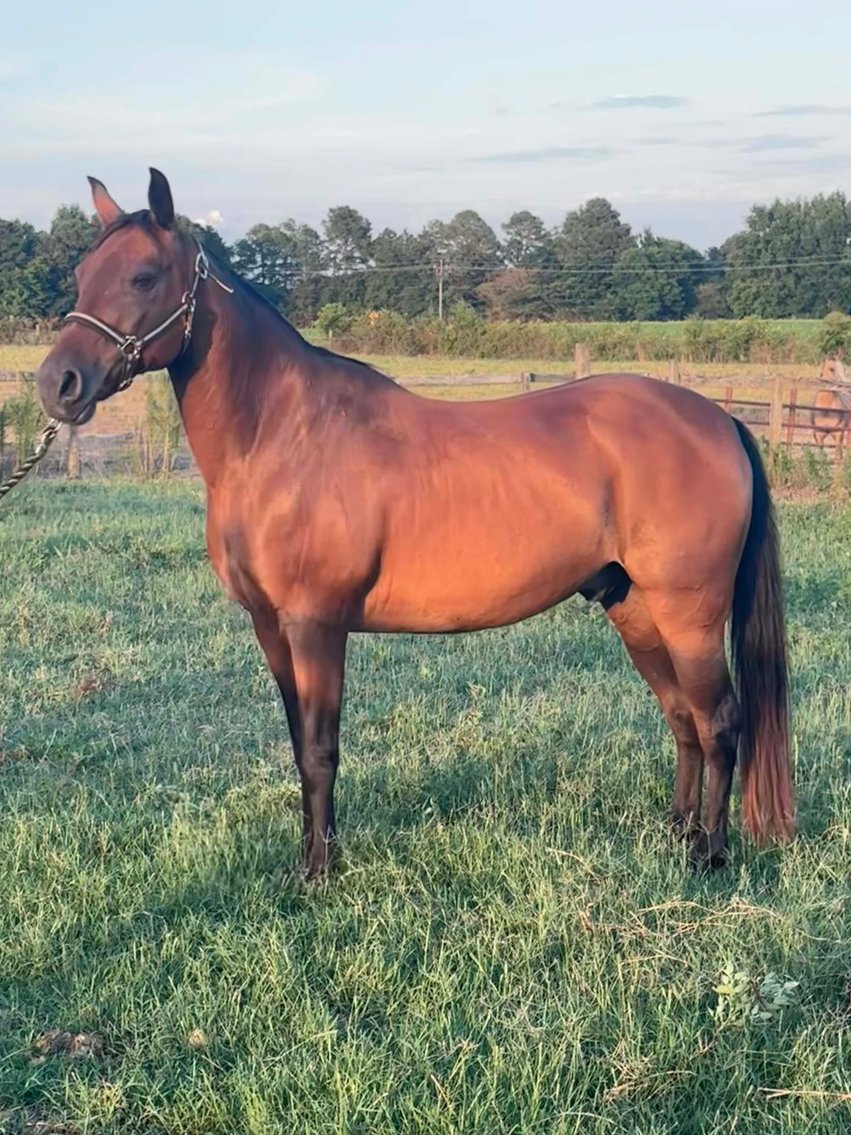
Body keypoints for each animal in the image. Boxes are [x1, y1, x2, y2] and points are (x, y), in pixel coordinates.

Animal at [36, 170, 794, 876]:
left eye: (142, 276)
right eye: (81, 274)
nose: (57, 385)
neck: (282, 435)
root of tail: (719, 419)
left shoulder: (316, 624)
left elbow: (320, 749)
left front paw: (318, 874)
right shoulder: (270, 627)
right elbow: (298, 745)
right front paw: (312, 856)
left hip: (688, 614)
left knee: (720, 719)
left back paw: (709, 853)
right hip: (634, 608)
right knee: (682, 717)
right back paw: (678, 835)